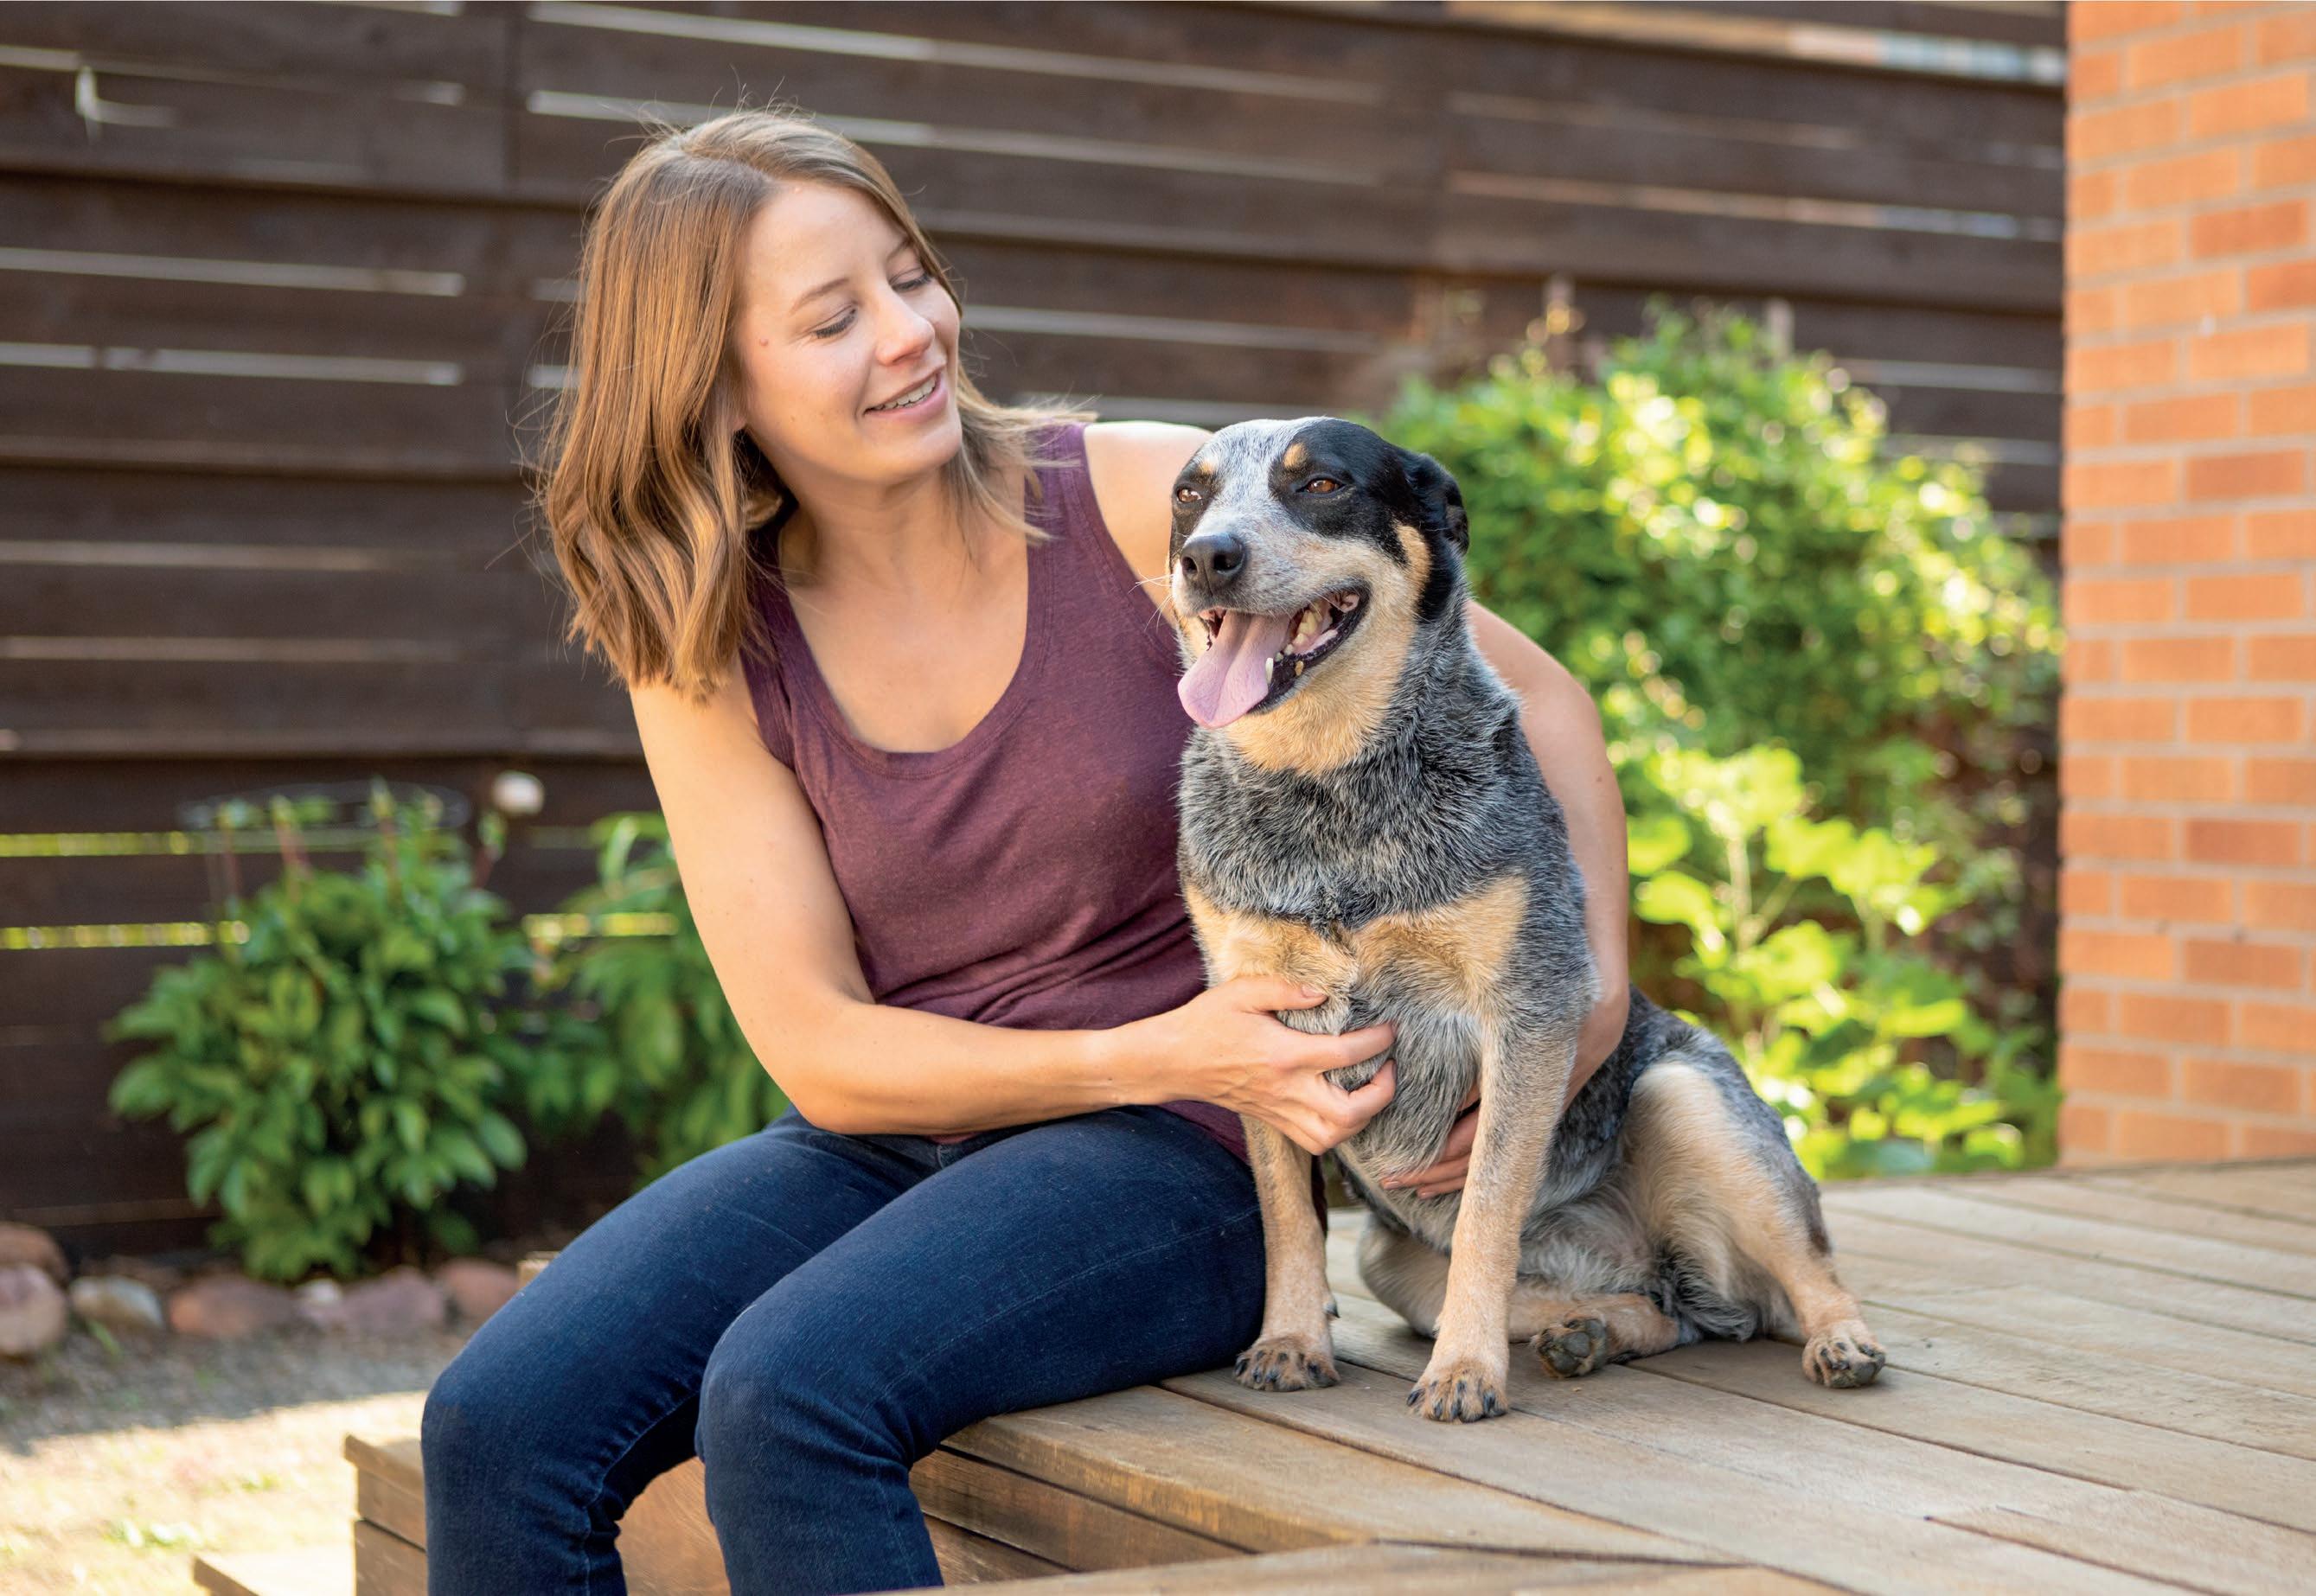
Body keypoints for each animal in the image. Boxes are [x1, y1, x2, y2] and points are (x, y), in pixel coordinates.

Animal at [1164, 416, 1885, 1423]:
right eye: (1189, 494)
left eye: (1321, 485)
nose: (1208, 556)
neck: (1327, 789)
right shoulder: (1257, 1027)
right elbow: (1286, 1217)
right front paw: (1292, 1341)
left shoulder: (1527, 1012)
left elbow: (1486, 1217)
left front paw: (1463, 1373)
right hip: (1390, 1259)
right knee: (1668, 1312)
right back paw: (1588, 1333)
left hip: (1686, 1096)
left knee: (1804, 1276)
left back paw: (1842, 1341)